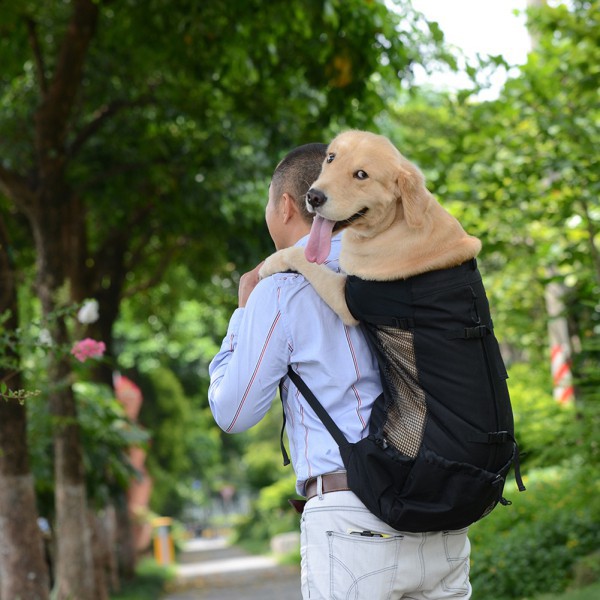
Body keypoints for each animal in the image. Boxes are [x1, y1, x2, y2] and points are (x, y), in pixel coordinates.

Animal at [258, 130, 482, 324]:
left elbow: (303, 258)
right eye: (331, 158)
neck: (392, 223)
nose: (313, 197)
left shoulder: (345, 297)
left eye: (361, 175)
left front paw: (269, 263)